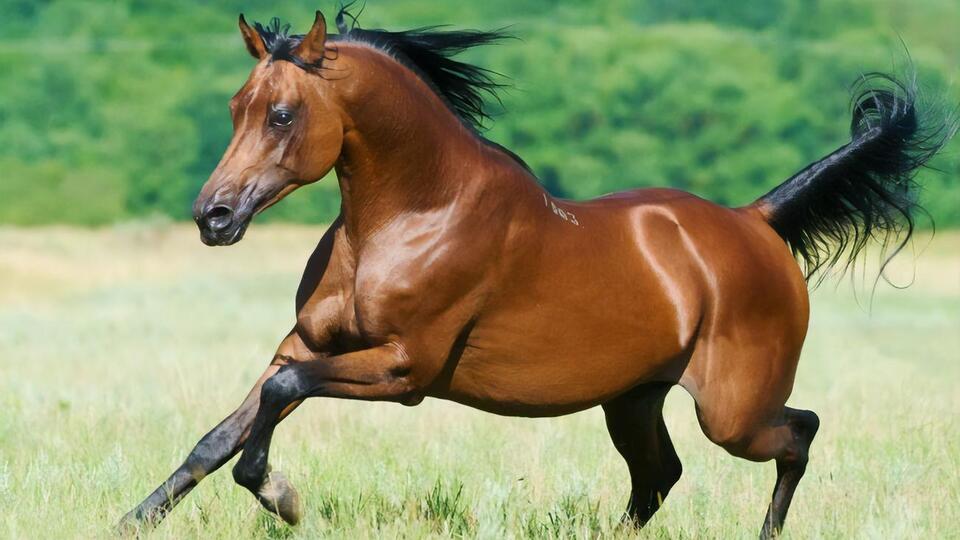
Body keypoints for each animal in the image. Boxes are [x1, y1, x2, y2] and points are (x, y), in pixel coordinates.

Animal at [119, 8, 954, 538]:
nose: (213, 217)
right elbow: (221, 435)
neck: (413, 214)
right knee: (660, 477)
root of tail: (755, 221)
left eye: (283, 114)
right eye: (238, 105)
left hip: (733, 410)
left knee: (797, 434)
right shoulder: (304, 344)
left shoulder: (402, 370)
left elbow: (275, 406)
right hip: (634, 400)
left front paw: (282, 497)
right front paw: (133, 518)